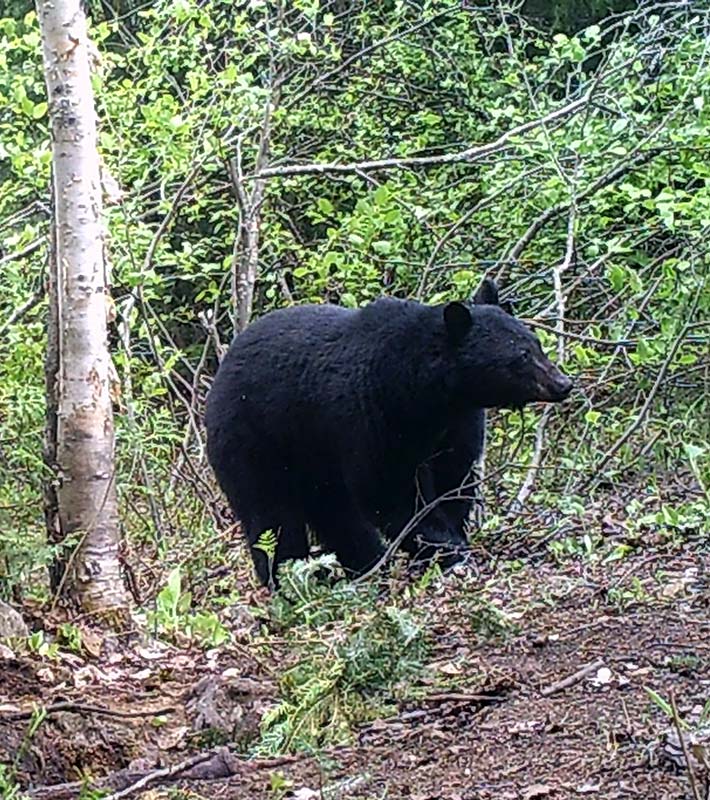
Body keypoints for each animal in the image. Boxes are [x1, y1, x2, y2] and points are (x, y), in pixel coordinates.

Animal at [205, 278, 572, 587]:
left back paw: (365, 563)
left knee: (334, 511)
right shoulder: (374, 413)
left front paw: (451, 537)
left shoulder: (457, 423)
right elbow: (389, 489)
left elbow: (454, 478)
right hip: (255, 442)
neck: (430, 392)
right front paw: (446, 547)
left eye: (536, 344)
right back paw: (288, 578)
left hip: (314, 457)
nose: (563, 383)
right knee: (273, 516)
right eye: (521, 355)